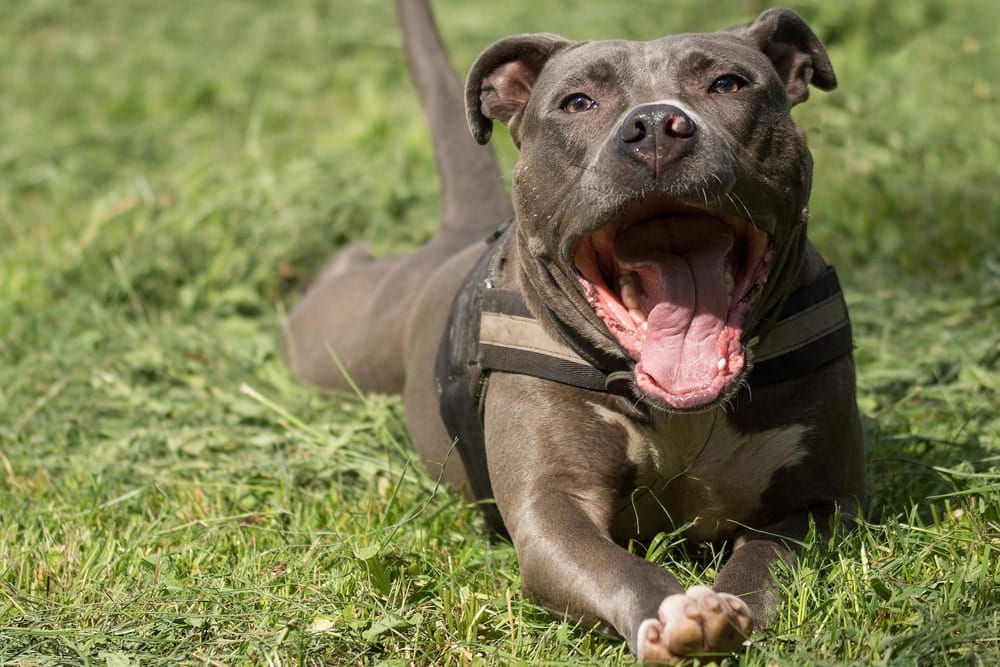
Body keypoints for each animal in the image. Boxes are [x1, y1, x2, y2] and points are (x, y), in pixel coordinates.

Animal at [286, 2, 864, 664]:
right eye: (578, 102)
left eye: (728, 84)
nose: (657, 125)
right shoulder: (551, 513)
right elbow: (615, 567)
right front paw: (676, 610)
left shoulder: (821, 499)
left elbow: (765, 560)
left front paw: (728, 606)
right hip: (335, 340)